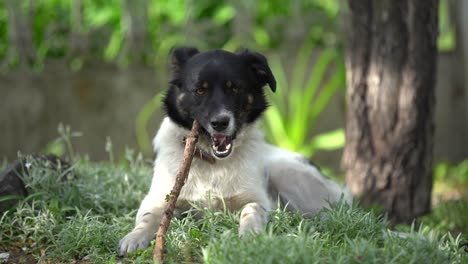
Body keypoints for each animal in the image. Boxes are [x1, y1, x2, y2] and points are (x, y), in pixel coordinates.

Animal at [119, 47, 350, 254]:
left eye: (234, 88)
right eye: (200, 90)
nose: (220, 123)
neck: (212, 162)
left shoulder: (257, 198)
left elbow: (251, 210)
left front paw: (250, 235)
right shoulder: (159, 198)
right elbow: (150, 216)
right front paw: (134, 237)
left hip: (285, 171)